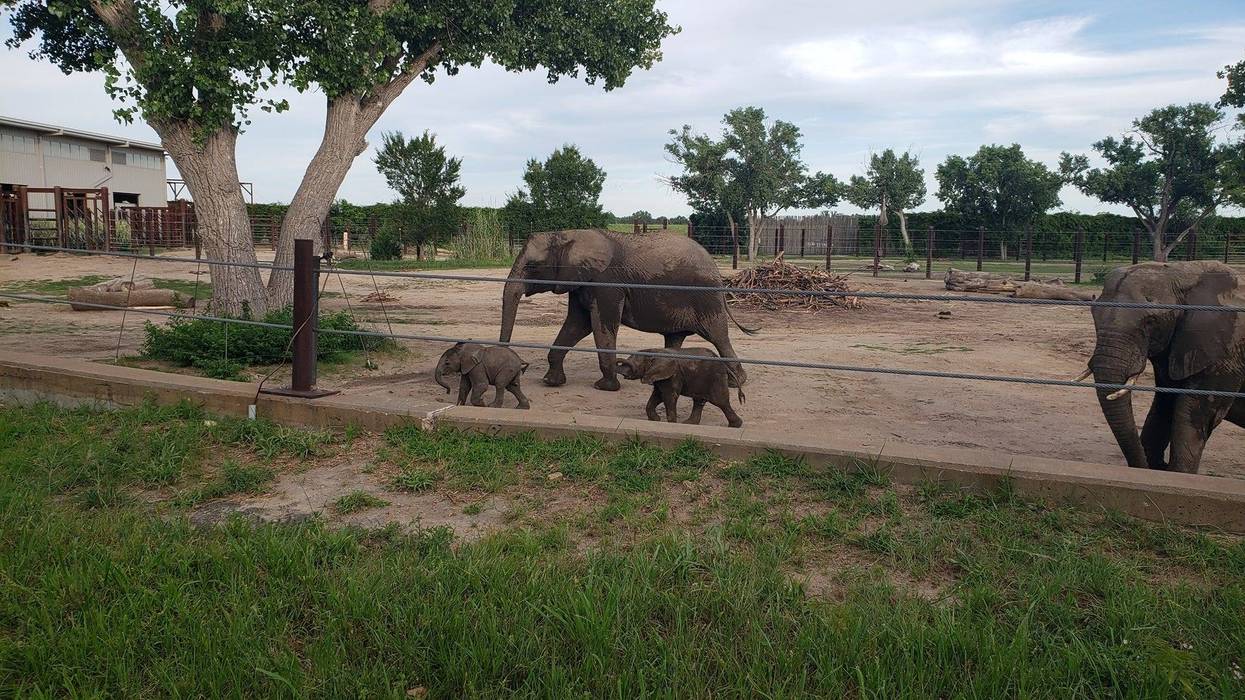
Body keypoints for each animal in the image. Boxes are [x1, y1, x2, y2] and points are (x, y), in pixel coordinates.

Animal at [498, 229, 756, 392]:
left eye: (533, 266)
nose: (520, 367)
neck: (570, 234)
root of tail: (717, 271)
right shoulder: (582, 282)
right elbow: (576, 325)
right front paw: (551, 382)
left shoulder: (607, 284)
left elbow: (601, 325)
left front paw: (605, 388)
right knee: (675, 338)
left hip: (705, 298)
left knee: (718, 336)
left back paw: (737, 383)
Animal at [1083, 261, 1244, 473]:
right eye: (1094, 314)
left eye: (1151, 322)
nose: (1144, 468)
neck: (1181, 273)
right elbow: (1164, 406)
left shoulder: (1226, 353)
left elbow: (1195, 416)